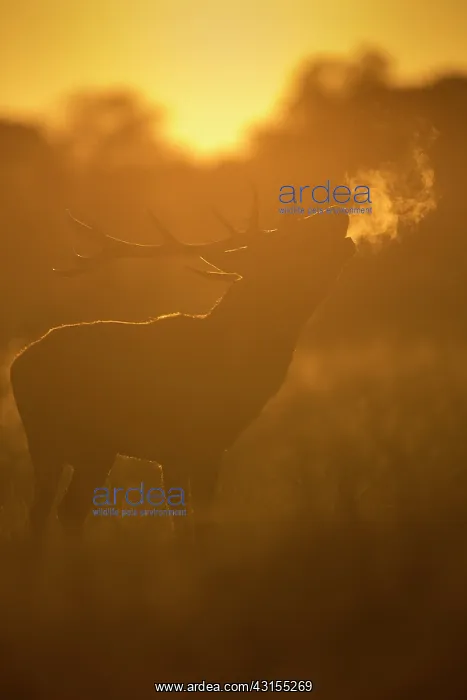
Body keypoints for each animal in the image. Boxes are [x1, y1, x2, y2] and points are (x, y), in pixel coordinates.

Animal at [10, 202, 355, 543]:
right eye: (289, 242)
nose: (340, 214)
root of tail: (16, 364)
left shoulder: (202, 447)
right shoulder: (185, 442)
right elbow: (192, 528)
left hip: (93, 449)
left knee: (67, 512)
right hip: (50, 439)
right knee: (42, 515)